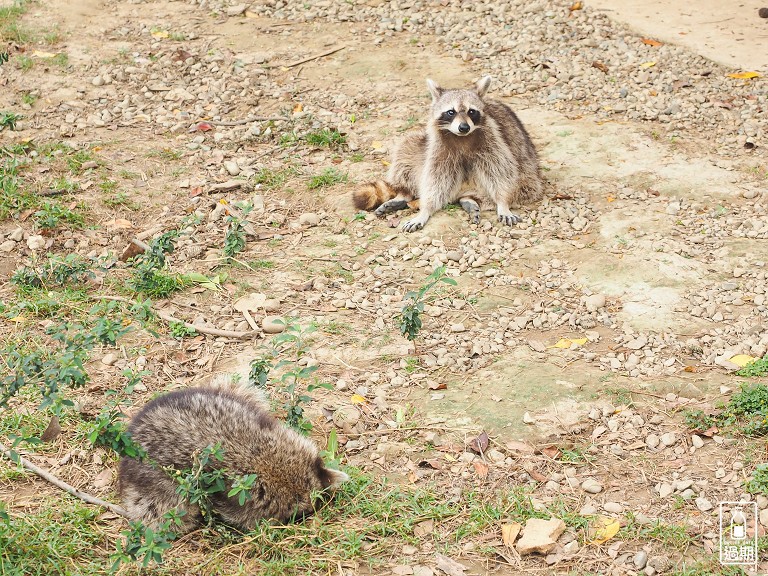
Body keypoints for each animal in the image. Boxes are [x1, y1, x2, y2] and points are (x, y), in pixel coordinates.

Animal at [352, 75, 540, 233]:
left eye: (472, 111)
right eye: (451, 112)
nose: (464, 127)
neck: (461, 137)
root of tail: (462, 192)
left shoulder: (492, 141)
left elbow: (499, 172)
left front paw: (503, 202)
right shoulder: (439, 147)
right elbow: (435, 178)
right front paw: (425, 210)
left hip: (528, 175)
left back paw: (470, 200)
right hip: (420, 148)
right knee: (406, 147)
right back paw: (405, 194)